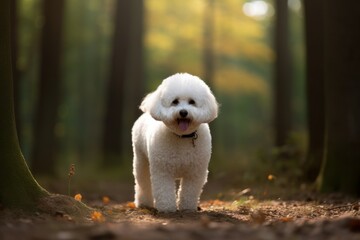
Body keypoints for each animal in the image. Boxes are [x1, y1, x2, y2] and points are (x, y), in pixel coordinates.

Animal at [131, 72, 218, 212]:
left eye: (192, 102)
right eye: (175, 101)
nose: (183, 112)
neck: (182, 137)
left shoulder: (195, 171)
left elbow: (190, 191)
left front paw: (187, 208)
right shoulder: (163, 170)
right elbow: (164, 190)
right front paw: (167, 209)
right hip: (140, 159)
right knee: (143, 182)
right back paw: (144, 203)